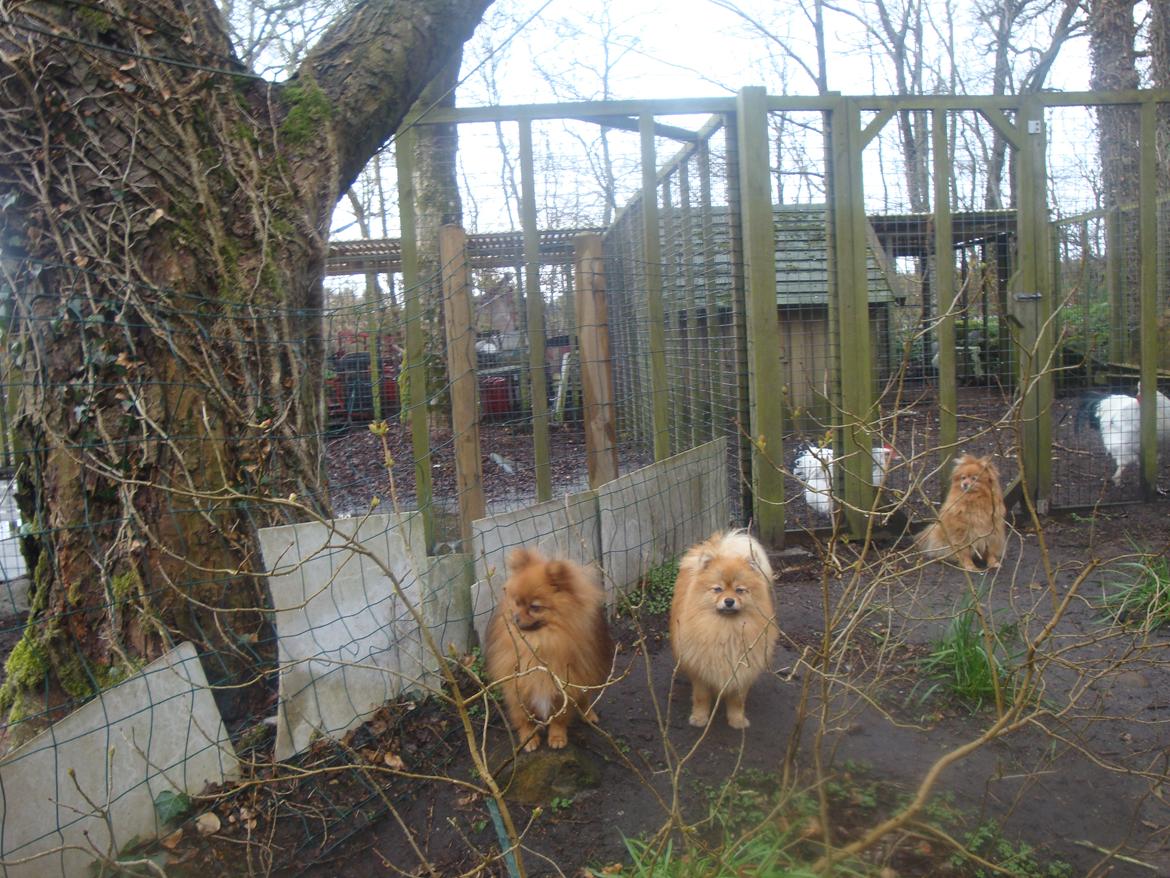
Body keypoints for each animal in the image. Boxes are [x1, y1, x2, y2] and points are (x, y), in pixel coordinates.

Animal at [482, 547, 613, 753]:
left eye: (535, 607)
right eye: (516, 602)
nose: (515, 618)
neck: (540, 643)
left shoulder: (564, 686)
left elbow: (559, 718)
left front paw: (557, 737)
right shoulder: (519, 687)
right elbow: (524, 717)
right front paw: (528, 738)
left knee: (584, 698)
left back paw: (588, 714)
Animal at [669, 533, 776, 730]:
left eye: (740, 590)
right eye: (717, 589)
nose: (728, 601)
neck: (725, 629)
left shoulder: (741, 670)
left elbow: (737, 701)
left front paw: (737, 720)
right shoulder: (701, 669)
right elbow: (701, 697)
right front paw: (699, 718)